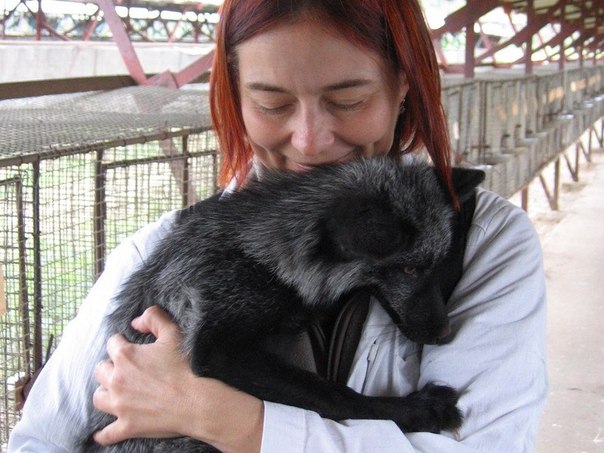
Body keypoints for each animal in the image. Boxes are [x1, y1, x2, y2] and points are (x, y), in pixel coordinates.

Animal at [83, 157, 484, 452]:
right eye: (409, 269)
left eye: (439, 265)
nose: (446, 333)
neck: (256, 249)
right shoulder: (217, 344)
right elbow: (334, 396)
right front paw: (417, 409)